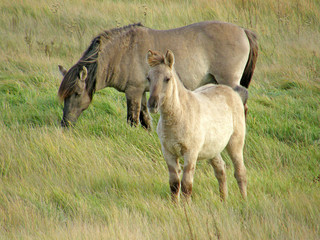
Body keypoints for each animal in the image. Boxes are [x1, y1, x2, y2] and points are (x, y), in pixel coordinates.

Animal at [57, 21, 258, 128]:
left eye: (76, 93)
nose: (65, 124)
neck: (122, 51)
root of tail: (243, 30)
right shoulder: (141, 92)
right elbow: (145, 118)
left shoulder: (133, 92)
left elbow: (133, 118)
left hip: (228, 80)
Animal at [147, 49, 248, 202]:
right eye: (148, 78)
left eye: (167, 78)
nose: (152, 104)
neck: (179, 115)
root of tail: (230, 91)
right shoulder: (168, 152)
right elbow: (174, 184)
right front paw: (174, 205)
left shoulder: (191, 153)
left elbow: (186, 185)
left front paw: (186, 206)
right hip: (213, 148)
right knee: (221, 170)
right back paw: (223, 201)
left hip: (235, 143)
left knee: (239, 171)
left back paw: (244, 200)